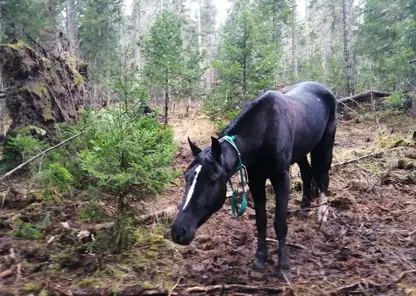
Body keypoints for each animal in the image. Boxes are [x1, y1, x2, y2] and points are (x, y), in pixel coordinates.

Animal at [171, 80, 336, 276]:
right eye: (186, 176)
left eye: (213, 178)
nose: (178, 232)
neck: (263, 131)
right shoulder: (256, 180)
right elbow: (261, 220)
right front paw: (260, 258)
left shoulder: (281, 179)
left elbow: (279, 222)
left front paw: (283, 265)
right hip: (301, 150)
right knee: (306, 172)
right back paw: (304, 207)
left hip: (325, 144)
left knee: (323, 176)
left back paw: (322, 215)